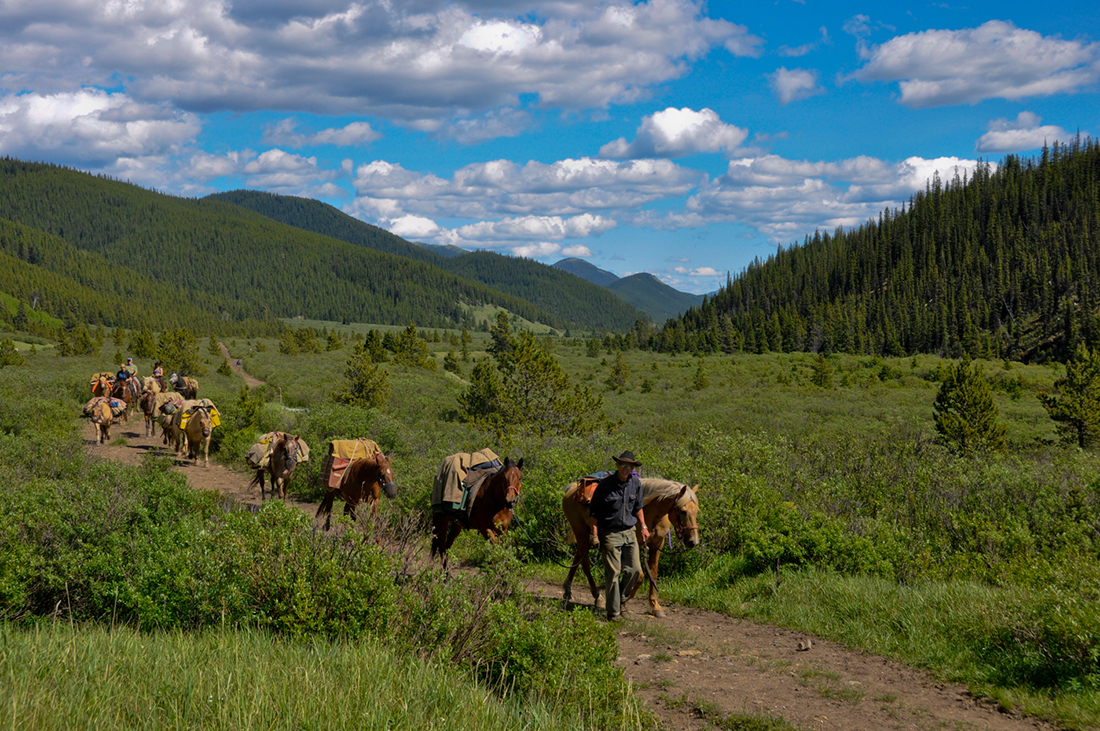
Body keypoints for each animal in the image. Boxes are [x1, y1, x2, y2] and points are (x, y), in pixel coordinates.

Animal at [563, 479, 699, 615]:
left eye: (697, 511)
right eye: (682, 511)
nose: (694, 541)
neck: (651, 513)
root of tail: (572, 488)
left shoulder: (657, 545)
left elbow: (653, 573)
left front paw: (655, 605)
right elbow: (640, 575)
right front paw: (623, 601)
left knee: (578, 557)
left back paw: (568, 591)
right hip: (580, 533)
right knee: (585, 563)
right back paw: (596, 596)